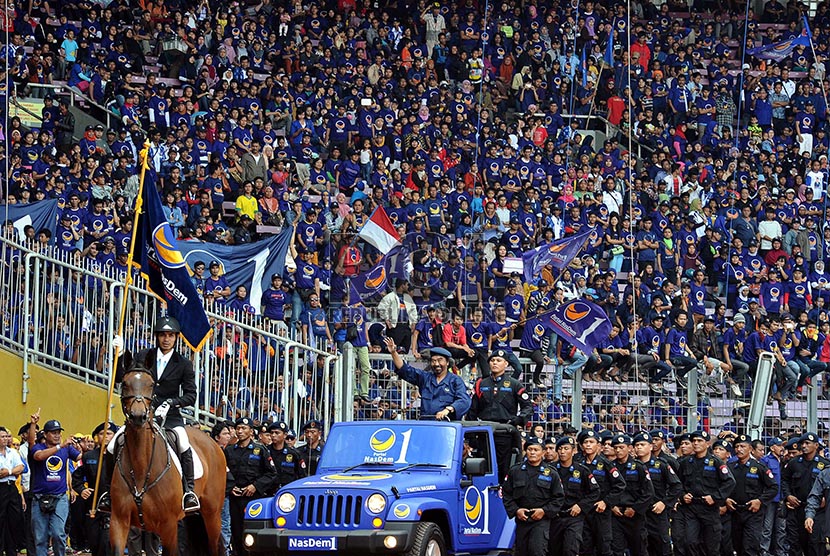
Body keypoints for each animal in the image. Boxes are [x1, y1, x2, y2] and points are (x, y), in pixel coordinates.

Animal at [112, 368, 228, 552]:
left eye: (151, 385)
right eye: (124, 384)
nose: (138, 416)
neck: (141, 467)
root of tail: (213, 443)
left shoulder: (168, 525)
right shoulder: (119, 521)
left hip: (212, 514)